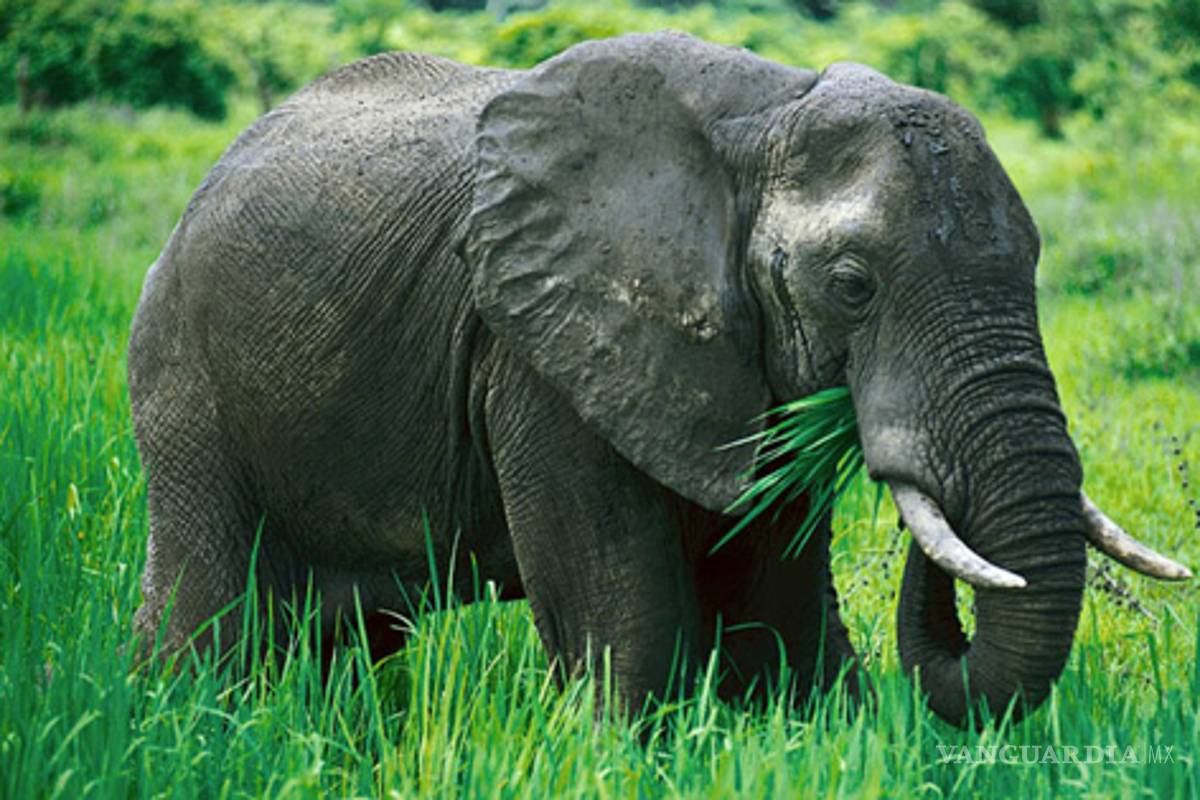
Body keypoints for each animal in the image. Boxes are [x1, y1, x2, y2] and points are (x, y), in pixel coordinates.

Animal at [127, 31, 1191, 726]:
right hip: (184, 380)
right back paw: (179, 725)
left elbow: (774, 583)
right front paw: (622, 750)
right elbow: (617, 596)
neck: (766, 118)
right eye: (852, 287)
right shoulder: (540, 348)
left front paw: (821, 734)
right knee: (207, 609)